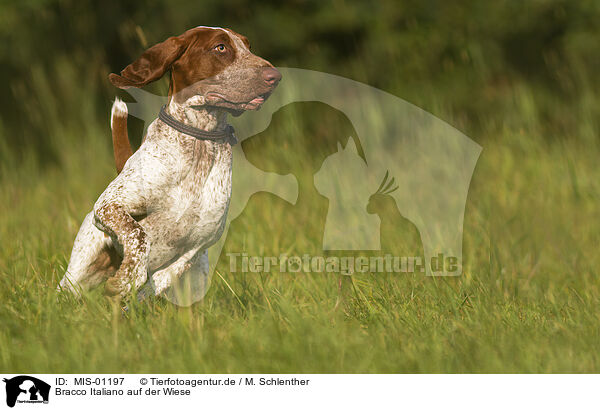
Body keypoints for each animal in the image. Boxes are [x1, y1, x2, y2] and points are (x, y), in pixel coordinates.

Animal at [58, 27, 282, 300]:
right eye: (220, 47)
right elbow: (138, 235)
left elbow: (154, 284)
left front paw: (127, 287)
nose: (275, 76)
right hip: (78, 274)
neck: (200, 141)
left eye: (248, 47)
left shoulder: (192, 250)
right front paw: (126, 279)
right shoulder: (109, 206)